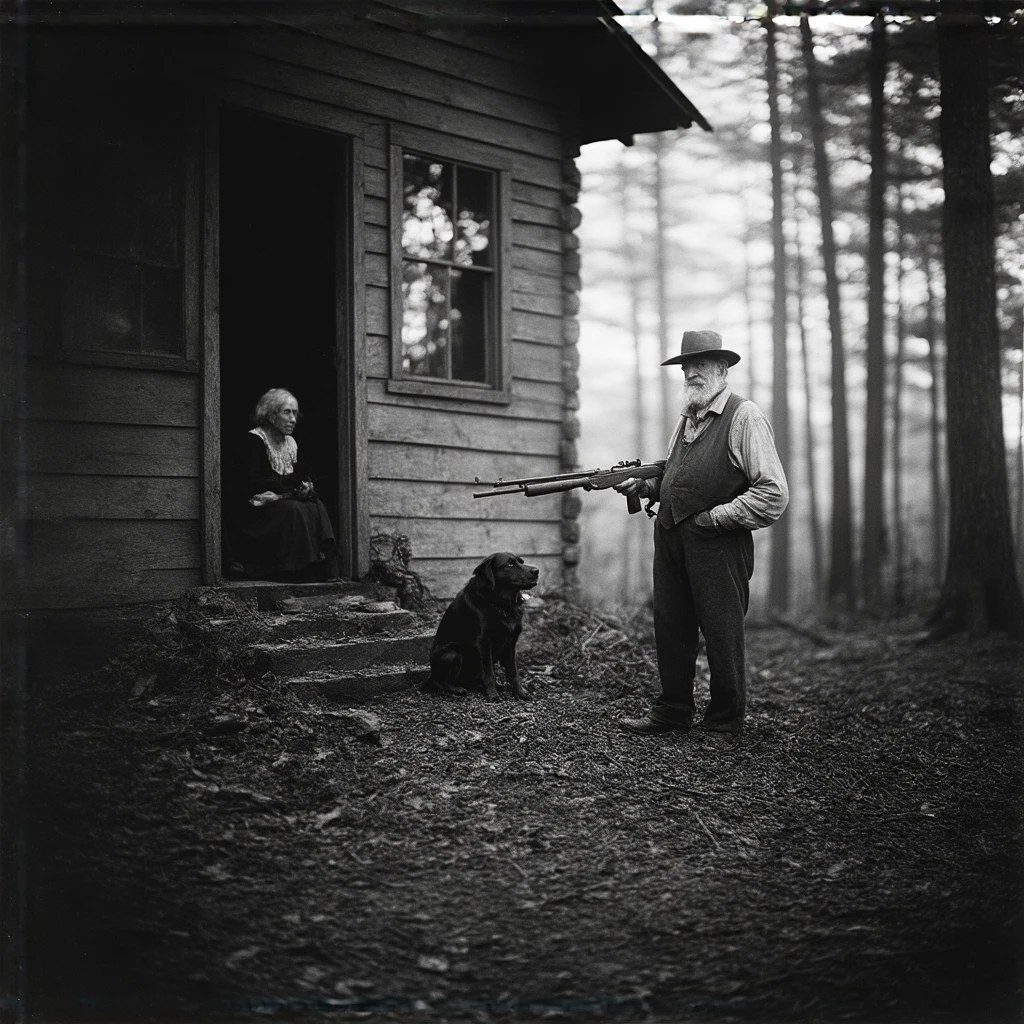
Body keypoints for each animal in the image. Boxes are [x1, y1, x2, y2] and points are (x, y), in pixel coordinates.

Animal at [421, 552, 540, 704]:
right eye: (510, 563)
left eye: (521, 562)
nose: (536, 571)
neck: (501, 605)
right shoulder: (484, 641)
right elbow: (489, 673)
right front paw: (493, 695)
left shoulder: (512, 642)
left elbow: (513, 672)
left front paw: (520, 692)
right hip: (453, 652)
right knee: (440, 681)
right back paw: (456, 689)